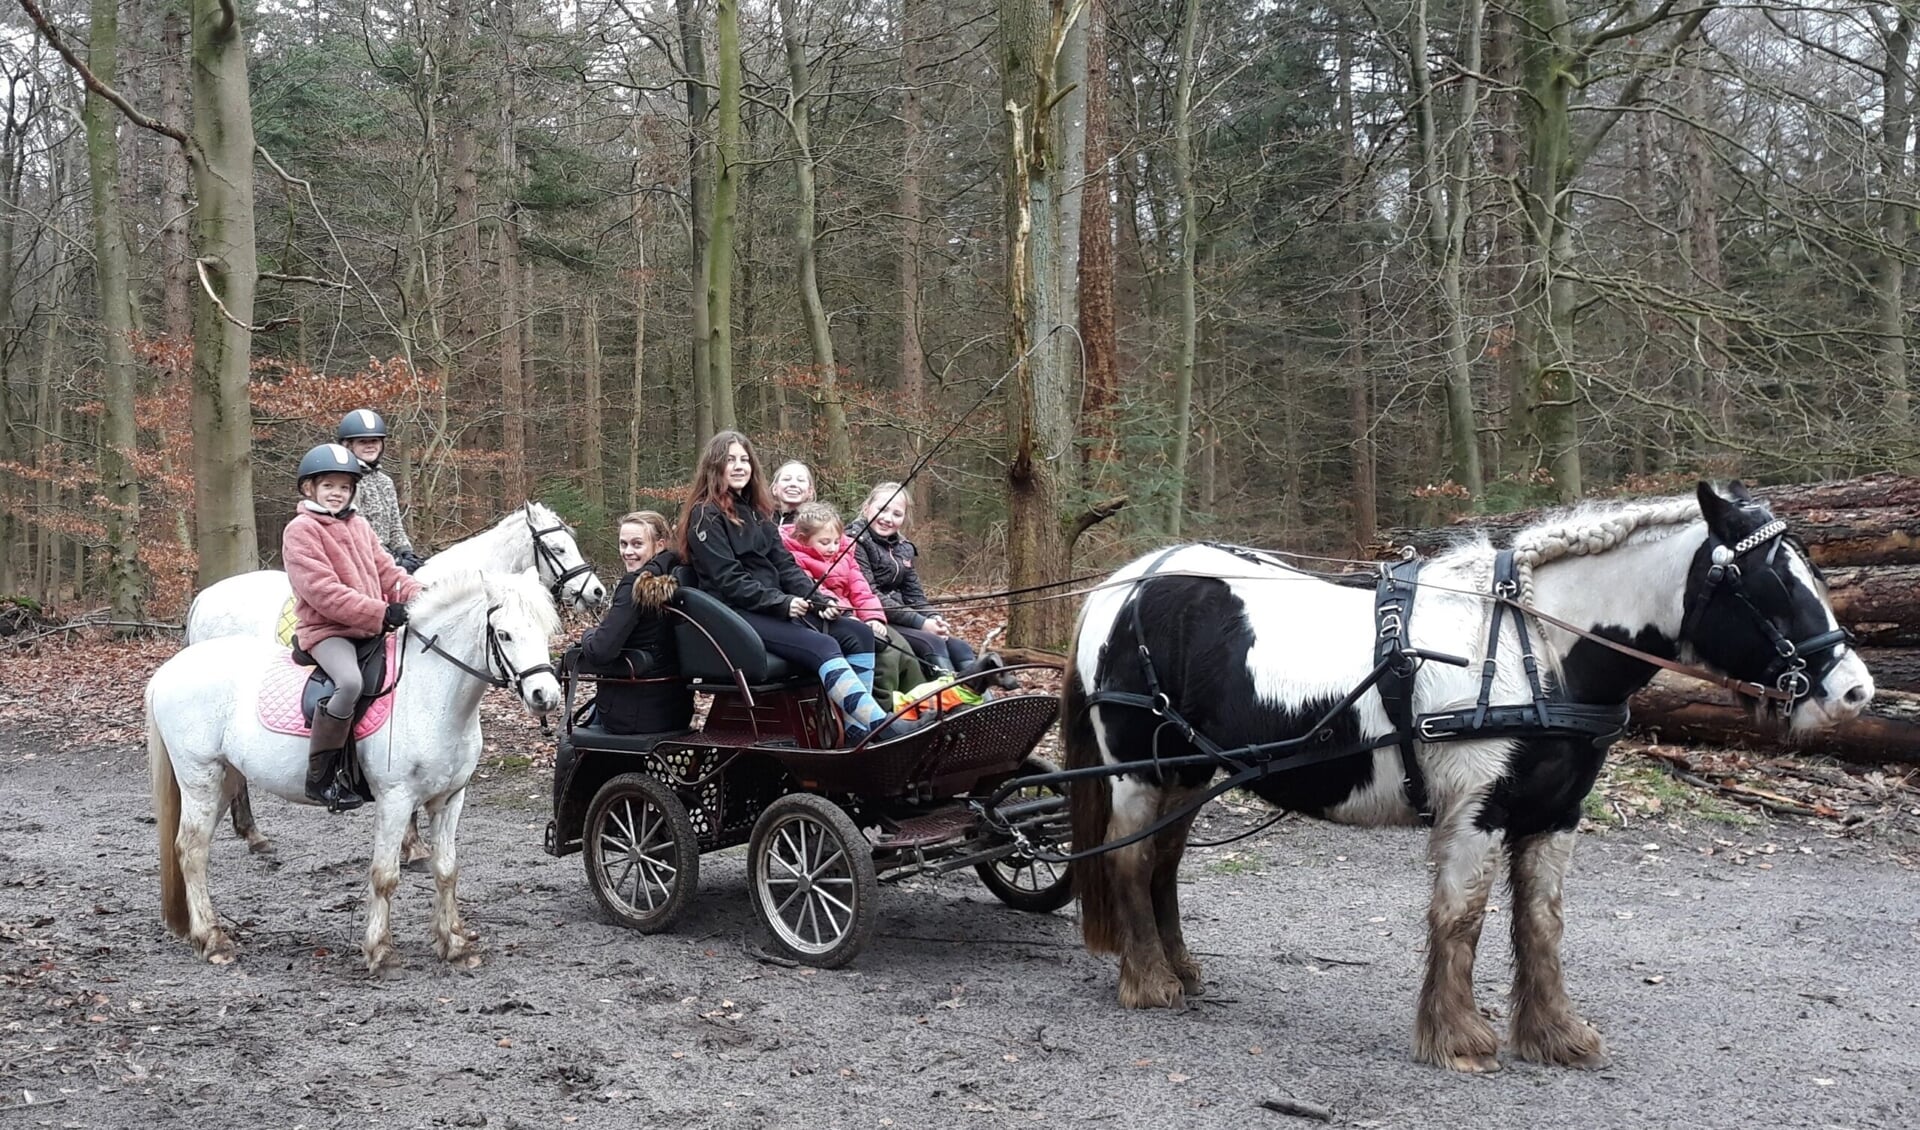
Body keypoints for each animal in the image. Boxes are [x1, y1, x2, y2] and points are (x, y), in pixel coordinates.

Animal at [147, 571, 560, 970]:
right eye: (504, 634)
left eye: (545, 630)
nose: (546, 696)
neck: (429, 694)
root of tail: (169, 670)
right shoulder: (396, 799)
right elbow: (385, 875)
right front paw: (381, 952)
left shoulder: (449, 799)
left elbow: (446, 869)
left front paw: (455, 946)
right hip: (200, 777)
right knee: (192, 850)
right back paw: (213, 941)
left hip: (225, 778)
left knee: (196, 844)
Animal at [1059, 479, 1866, 1074]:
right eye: (1768, 583)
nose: (1855, 691)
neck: (1532, 650)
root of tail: (1125, 583)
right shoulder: (1476, 808)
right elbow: (1461, 918)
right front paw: (1458, 1038)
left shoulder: (1555, 815)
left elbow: (1541, 922)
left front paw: (1555, 1035)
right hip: (1138, 771)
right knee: (1131, 860)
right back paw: (1149, 981)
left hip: (1190, 770)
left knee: (1164, 864)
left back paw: (1179, 966)